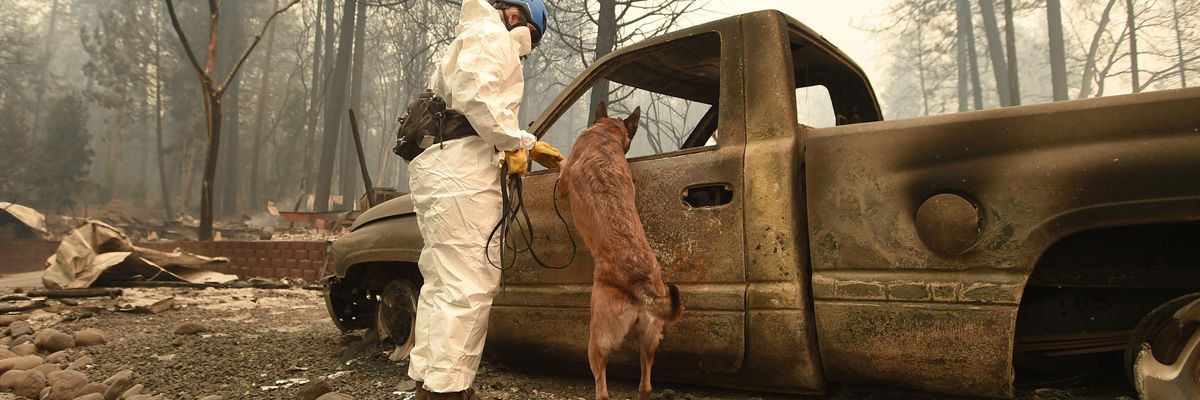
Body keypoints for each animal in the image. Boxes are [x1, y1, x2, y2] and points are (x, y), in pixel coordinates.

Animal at [554, 101, 681, 396]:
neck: (606, 135)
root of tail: (641, 284)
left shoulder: (563, 183)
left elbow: (562, 168)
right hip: (650, 339)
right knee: (645, 386)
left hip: (597, 340)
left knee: (602, 389)